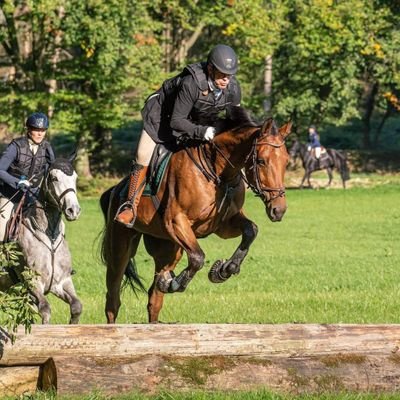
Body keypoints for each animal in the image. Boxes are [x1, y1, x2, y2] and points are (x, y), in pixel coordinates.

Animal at [0, 155, 81, 324]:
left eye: (75, 178)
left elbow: (77, 306)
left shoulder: (61, 281)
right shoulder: (33, 282)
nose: (73, 210)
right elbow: (45, 310)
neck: (49, 236)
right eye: (54, 178)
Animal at [101, 107, 292, 324]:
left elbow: (251, 230)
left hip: (168, 247)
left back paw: (162, 288)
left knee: (154, 297)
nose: (278, 210)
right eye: (261, 161)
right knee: (113, 298)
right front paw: (175, 283)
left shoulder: (224, 224)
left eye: (286, 161)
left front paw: (225, 269)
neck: (218, 171)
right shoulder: (176, 221)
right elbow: (198, 257)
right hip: (120, 248)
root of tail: (115, 189)